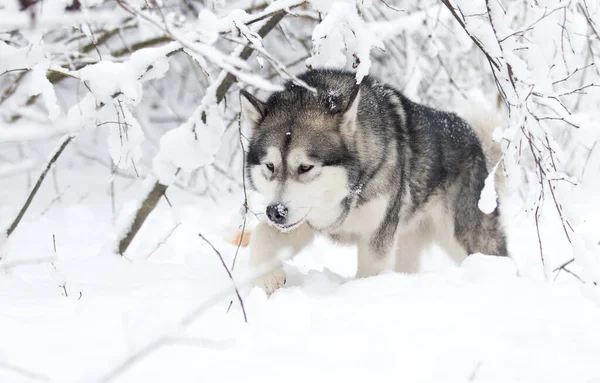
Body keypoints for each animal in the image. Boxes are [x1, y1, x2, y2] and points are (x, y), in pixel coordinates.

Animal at [239, 69, 506, 296]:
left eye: (305, 167)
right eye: (270, 166)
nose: (276, 212)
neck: (351, 191)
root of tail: (475, 139)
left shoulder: (375, 237)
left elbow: (368, 275)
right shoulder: (309, 220)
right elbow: (262, 233)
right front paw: (266, 276)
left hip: (465, 237)